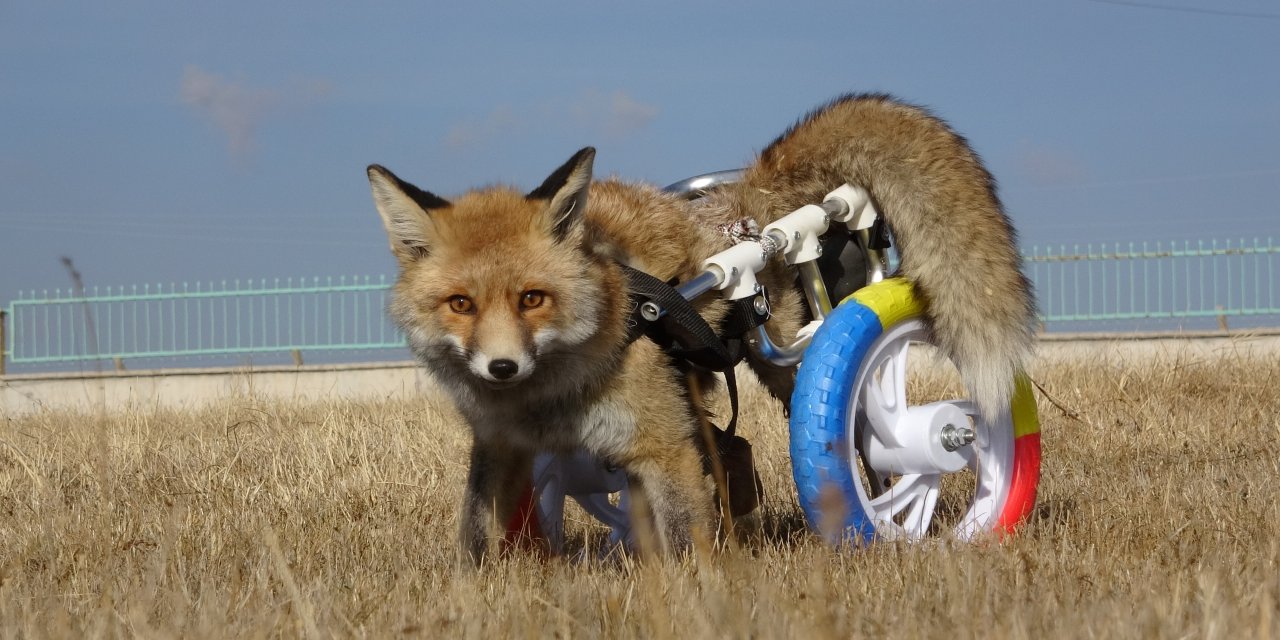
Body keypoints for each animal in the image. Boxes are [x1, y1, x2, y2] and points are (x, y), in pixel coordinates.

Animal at [368, 92, 1039, 563]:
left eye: (533, 299)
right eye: (461, 304)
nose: (501, 367)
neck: (549, 397)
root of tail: (749, 194)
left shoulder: (662, 446)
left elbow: (689, 552)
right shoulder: (502, 446)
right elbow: (476, 542)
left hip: (791, 360)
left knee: (862, 436)